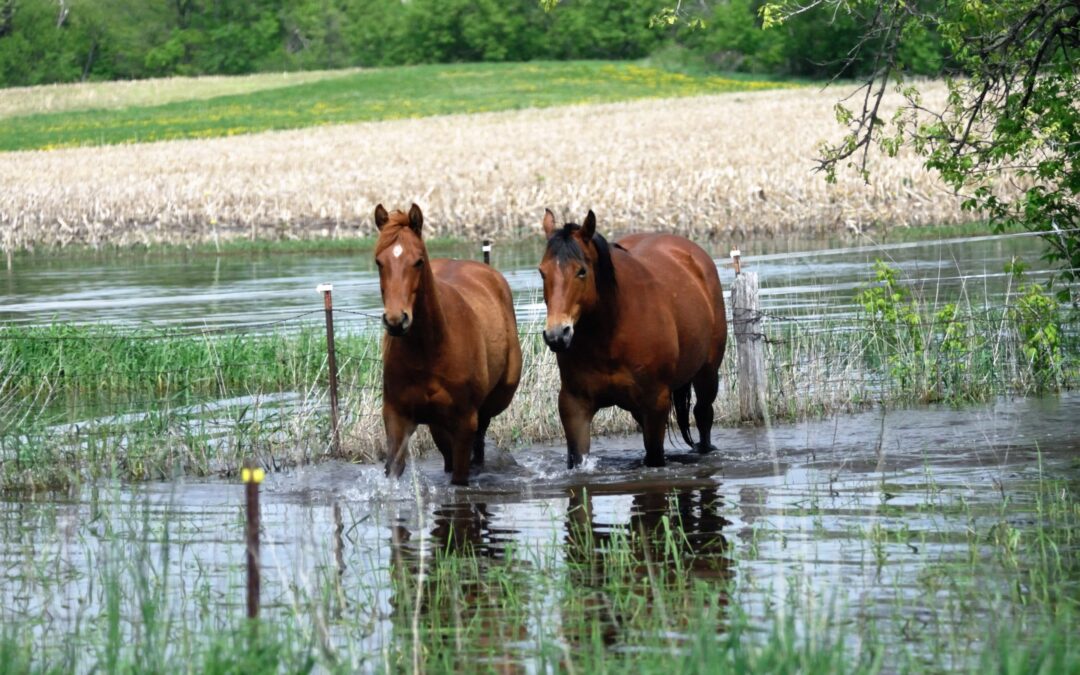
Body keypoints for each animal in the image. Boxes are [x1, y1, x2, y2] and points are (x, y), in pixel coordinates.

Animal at [373, 203, 520, 481]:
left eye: (418, 261)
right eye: (379, 262)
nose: (396, 320)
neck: (429, 350)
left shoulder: (464, 423)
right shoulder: (397, 417)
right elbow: (393, 467)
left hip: (491, 405)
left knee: (480, 438)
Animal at [537, 209, 725, 468]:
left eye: (581, 271)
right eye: (542, 272)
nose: (557, 335)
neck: (609, 335)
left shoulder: (656, 402)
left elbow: (655, 456)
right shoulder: (574, 405)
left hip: (707, 375)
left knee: (703, 415)